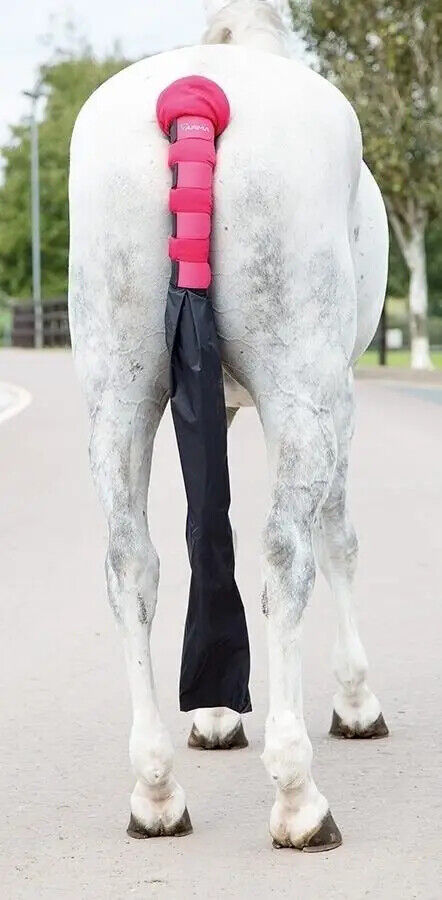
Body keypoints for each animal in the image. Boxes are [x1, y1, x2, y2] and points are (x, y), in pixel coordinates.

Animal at [68, 0, 389, 851]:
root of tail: (194, 95)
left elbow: (204, 534)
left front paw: (213, 712)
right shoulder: (336, 396)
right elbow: (336, 541)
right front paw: (355, 701)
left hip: (118, 396)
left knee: (131, 564)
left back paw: (155, 790)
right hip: (303, 390)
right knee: (287, 553)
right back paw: (298, 797)